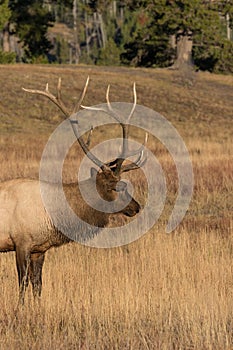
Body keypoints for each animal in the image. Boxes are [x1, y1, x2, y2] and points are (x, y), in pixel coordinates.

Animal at [0, 77, 147, 304]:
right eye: (117, 187)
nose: (136, 207)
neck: (51, 217)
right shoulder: (21, 242)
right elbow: (22, 284)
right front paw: (19, 309)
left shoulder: (39, 249)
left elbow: (37, 284)